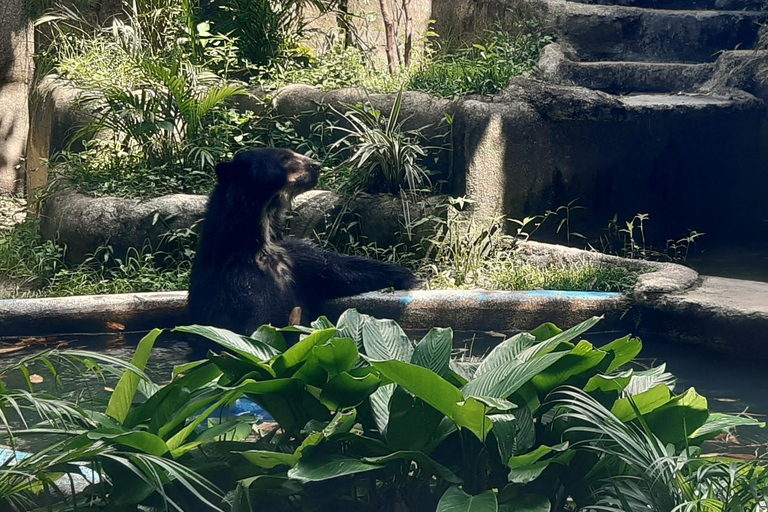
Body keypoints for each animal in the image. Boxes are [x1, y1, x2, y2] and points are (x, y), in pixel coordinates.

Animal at [188, 147, 420, 336]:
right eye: (284, 158)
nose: (316, 165)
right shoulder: (237, 286)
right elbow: (254, 328)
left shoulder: (294, 257)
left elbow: (340, 269)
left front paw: (406, 277)